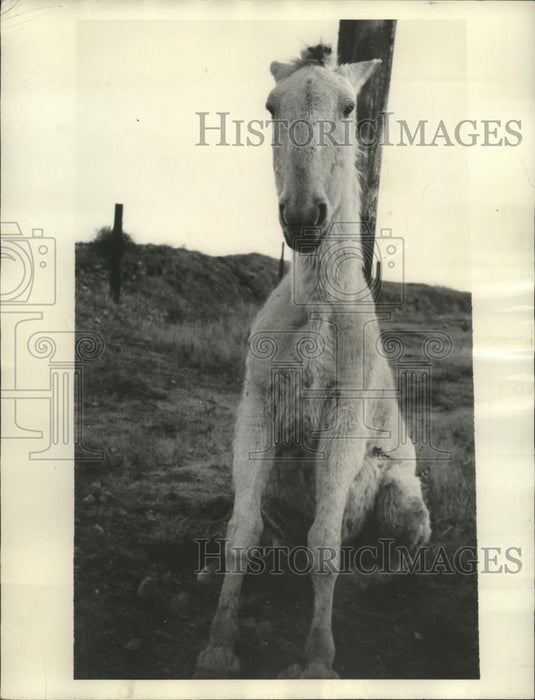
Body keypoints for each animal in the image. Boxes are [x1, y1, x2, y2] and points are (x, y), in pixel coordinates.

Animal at [195, 43, 431, 680]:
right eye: (271, 107)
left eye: (349, 107)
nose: (303, 217)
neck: (320, 309)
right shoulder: (256, 413)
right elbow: (241, 533)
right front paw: (219, 645)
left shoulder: (343, 425)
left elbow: (324, 542)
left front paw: (318, 661)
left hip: (403, 498)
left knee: (400, 557)